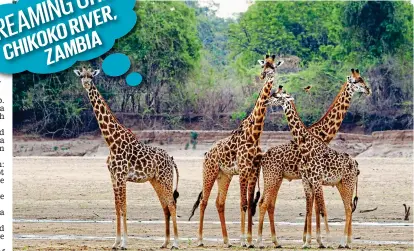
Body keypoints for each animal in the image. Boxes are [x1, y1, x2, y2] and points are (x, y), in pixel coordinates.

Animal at [74, 67, 180, 250]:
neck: (111, 142)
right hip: (156, 181)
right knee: (165, 206)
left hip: (165, 179)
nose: (86, 84)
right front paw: (115, 242)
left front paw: (124, 242)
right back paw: (165, 242)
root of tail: (171, 159)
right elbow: (117, 208)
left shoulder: (122, 176)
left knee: (172, 204)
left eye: (91, 76)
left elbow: (124, 207)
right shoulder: (113, 177)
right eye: (81, 76)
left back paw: (175, 243)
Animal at [188, 54, 284, 247]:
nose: (264, 75)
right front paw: (244, 240)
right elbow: (243, 203)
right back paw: (200, 240)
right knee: (203, 202)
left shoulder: (253, 170)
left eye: (273, 67)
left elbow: (250, 203)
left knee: (219, 203)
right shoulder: (244, 170)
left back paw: (226, 240)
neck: (255, 134)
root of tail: (206, 154)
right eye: (264, 65)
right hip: (209, 172)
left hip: (224, 175)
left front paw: (250, 240)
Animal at [256, 69, 368, 249]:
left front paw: (315, 240)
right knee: (265, 203)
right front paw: (314, 240)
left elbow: (315, 208)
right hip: (273, 177)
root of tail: (262, 158)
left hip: (278, 178)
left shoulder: (313, 180)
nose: (368, 89)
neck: (320, 134)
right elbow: (314, 208)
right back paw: (260, 241)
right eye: (357, 81)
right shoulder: (308, 179)